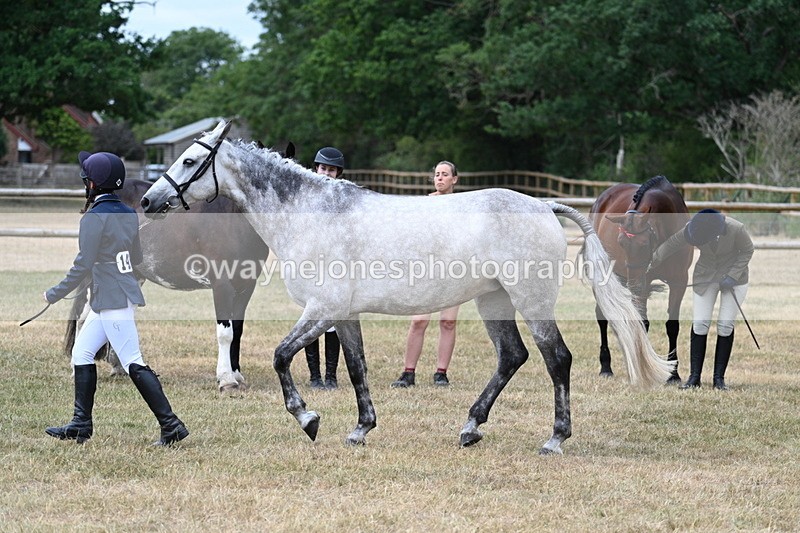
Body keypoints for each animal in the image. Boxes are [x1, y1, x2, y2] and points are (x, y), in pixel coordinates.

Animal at [64, 175, 271, 392]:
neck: (233, 218)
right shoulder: (222, 286)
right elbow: (226, 333)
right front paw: (226, 379)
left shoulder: (246, 287)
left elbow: (237, 331)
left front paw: (236, 374)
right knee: (81, 317)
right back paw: (77, 366)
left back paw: (118, 367)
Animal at [140, 120, 673, 454]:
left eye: (190, 160)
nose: (148, 200)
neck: (311, 213)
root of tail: (545, 206)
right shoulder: (342, 315)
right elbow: (355, 367)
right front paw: (360, 430)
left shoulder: (321, 308)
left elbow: (279, 357)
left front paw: (308, 419)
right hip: (493, 300)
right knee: (512, 357)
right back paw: (470, 428)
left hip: (530, 300)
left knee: (555, 359)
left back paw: (554, 439)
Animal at [589, 176, 692, 384]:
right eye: (620, 242)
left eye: (644, 244)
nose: (634, 283)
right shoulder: (643, 284)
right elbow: (643, 324)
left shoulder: (679, 281)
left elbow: (673, 326)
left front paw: (673, 374)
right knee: (602, 315)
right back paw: (606, 367)